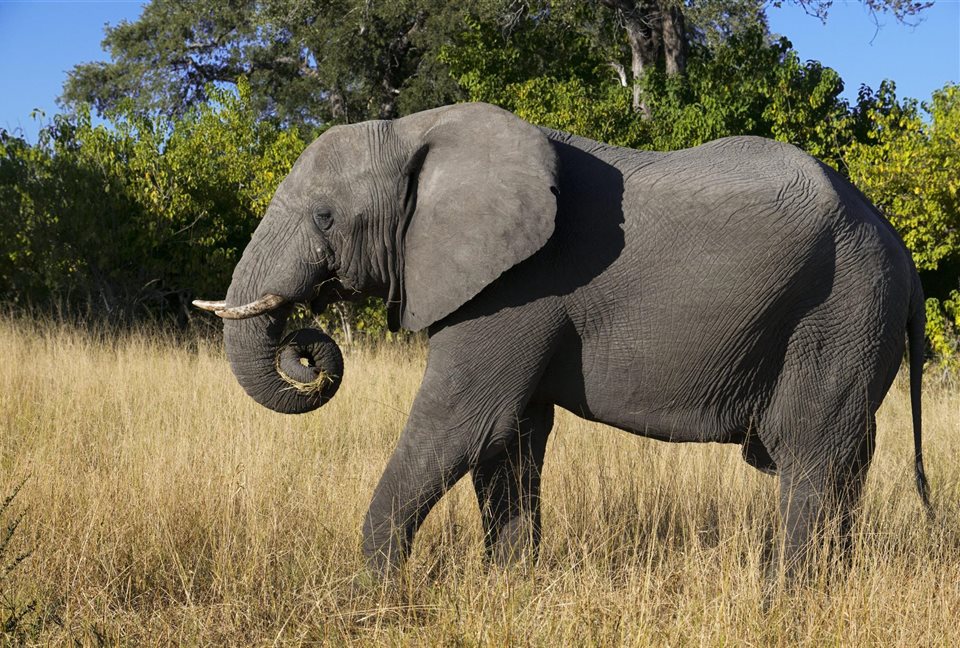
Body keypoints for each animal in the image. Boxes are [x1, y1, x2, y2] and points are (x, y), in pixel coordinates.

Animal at [194, 102, 932, 577]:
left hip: (840, 312)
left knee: (810, 456)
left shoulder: (520, 286)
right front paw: (509, 587)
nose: (305, 349)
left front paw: (374, 595)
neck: (413, 131)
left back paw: (786, 598)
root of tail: (896, 244)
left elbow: (461, 425)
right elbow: (513, 436)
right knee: (844, 459)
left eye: (324, 217)